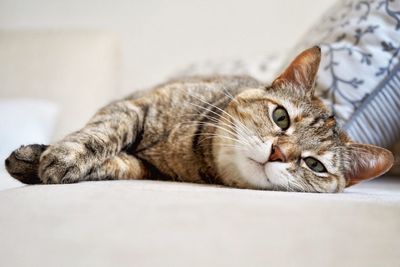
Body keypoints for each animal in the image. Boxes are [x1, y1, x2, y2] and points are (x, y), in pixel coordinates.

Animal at [3, 46, 394, 193]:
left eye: (314, 165)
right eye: (281, 117)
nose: (279, 153)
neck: (191, 151)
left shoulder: (145, 168)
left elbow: (116, 164)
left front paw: (44, 163)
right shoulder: (135, 107)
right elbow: (101, 133)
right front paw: (60, 155)